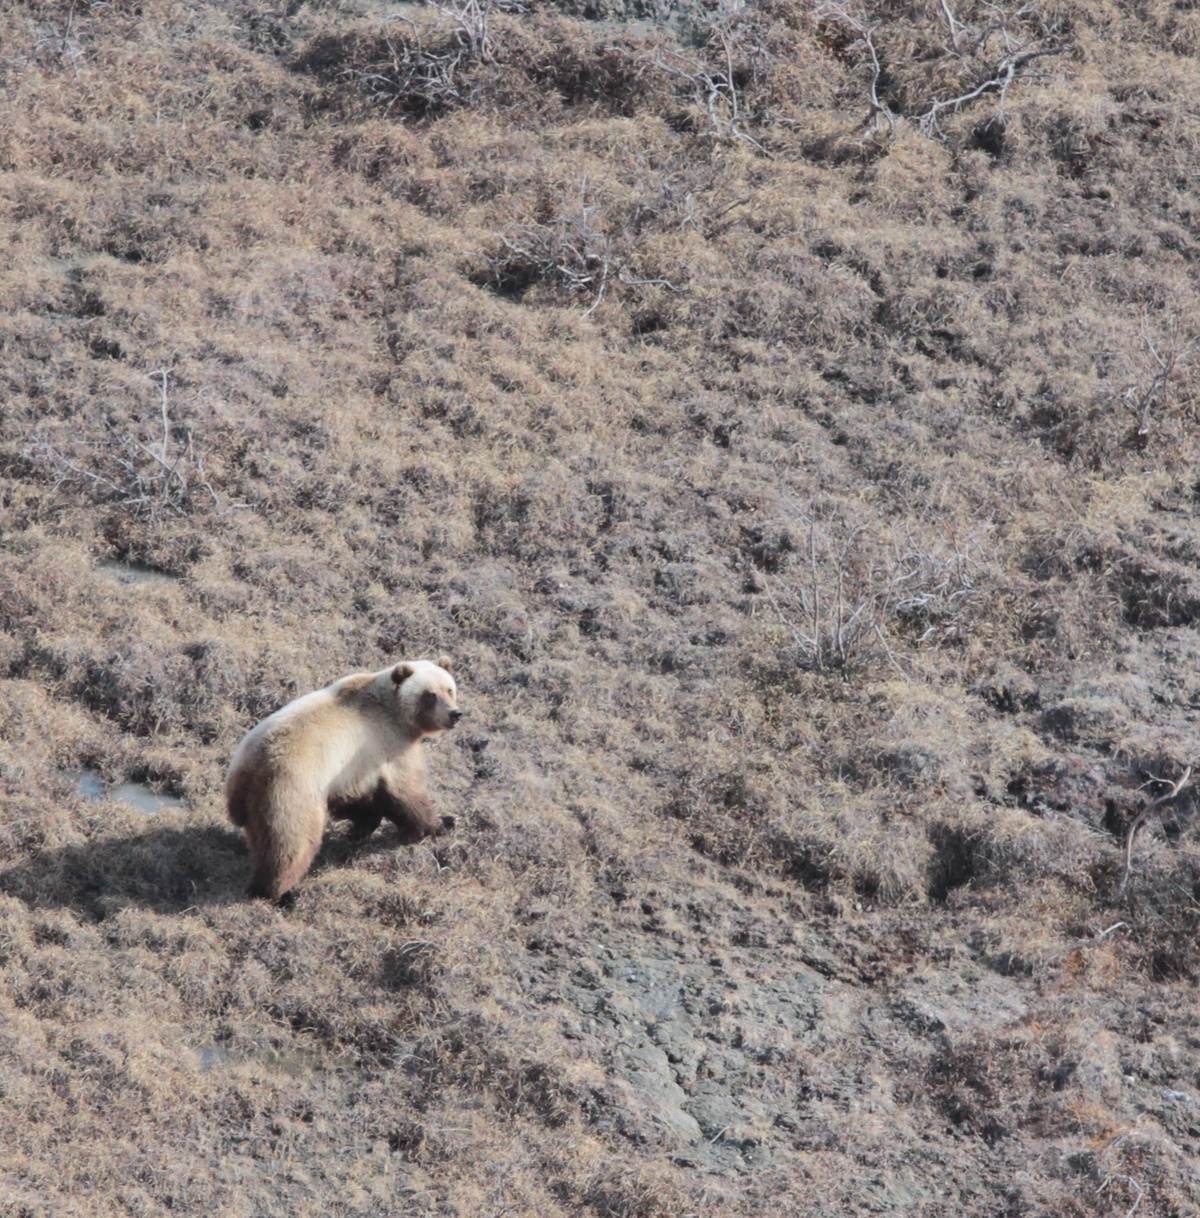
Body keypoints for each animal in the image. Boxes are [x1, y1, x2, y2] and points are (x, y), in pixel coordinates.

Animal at [225, 657, 462, 901]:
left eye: (449, 689)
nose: (455, 714)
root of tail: (247, 770)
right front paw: (443, 822)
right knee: (290, 843)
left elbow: (357, 799)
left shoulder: (353, 766)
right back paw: (275, 892)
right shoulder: (386, 744)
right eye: (430, 694)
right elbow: (405, 792)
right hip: (289, 791)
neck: (394, 712)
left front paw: (359, 828)